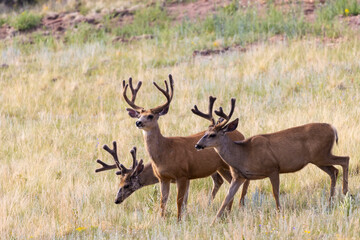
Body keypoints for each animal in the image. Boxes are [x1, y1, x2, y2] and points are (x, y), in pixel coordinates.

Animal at [122, 74, 249, 219]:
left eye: (150, 116)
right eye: (138, 115)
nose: (138, 122)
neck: (165, 152)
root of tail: (241, 134)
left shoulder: (182, 174)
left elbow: (179, 201)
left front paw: (178, 220)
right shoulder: (163, 178)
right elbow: (163, 202)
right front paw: (162, 219)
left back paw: (240, 206)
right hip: (221, 167)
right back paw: (228, 211)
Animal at [193, 96, 350, 222]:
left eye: (212, 135)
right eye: (205, 132)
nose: (197, 145)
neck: (243, 154)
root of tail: (333, 128)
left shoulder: (273, 168)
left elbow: (275, 193)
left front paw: (279, 213)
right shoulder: (239, 176)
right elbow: (226, 198)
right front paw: (214, 221)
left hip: (322, 155)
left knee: (345, 159)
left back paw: (345, 192)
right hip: (318, 159)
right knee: (334, 171)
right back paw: (330, 202)